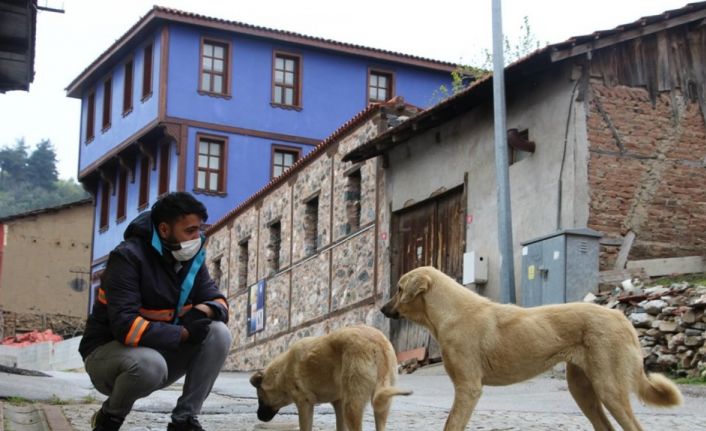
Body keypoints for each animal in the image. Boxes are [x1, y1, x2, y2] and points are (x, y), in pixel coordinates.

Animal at [249, 324, 412, 431]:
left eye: (259, 398)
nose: (258, 416)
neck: (281, 372)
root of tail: (377, 343)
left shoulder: (304, 404)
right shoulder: (338, 403)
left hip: (352, 406)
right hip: (381, 404)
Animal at [380, 266, 683, 431]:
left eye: (399, 288)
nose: (382, 309)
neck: (450, 312)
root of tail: (621, 316)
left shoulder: (468, 389)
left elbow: (452, 424)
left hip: (609, 389)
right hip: (582, 389)